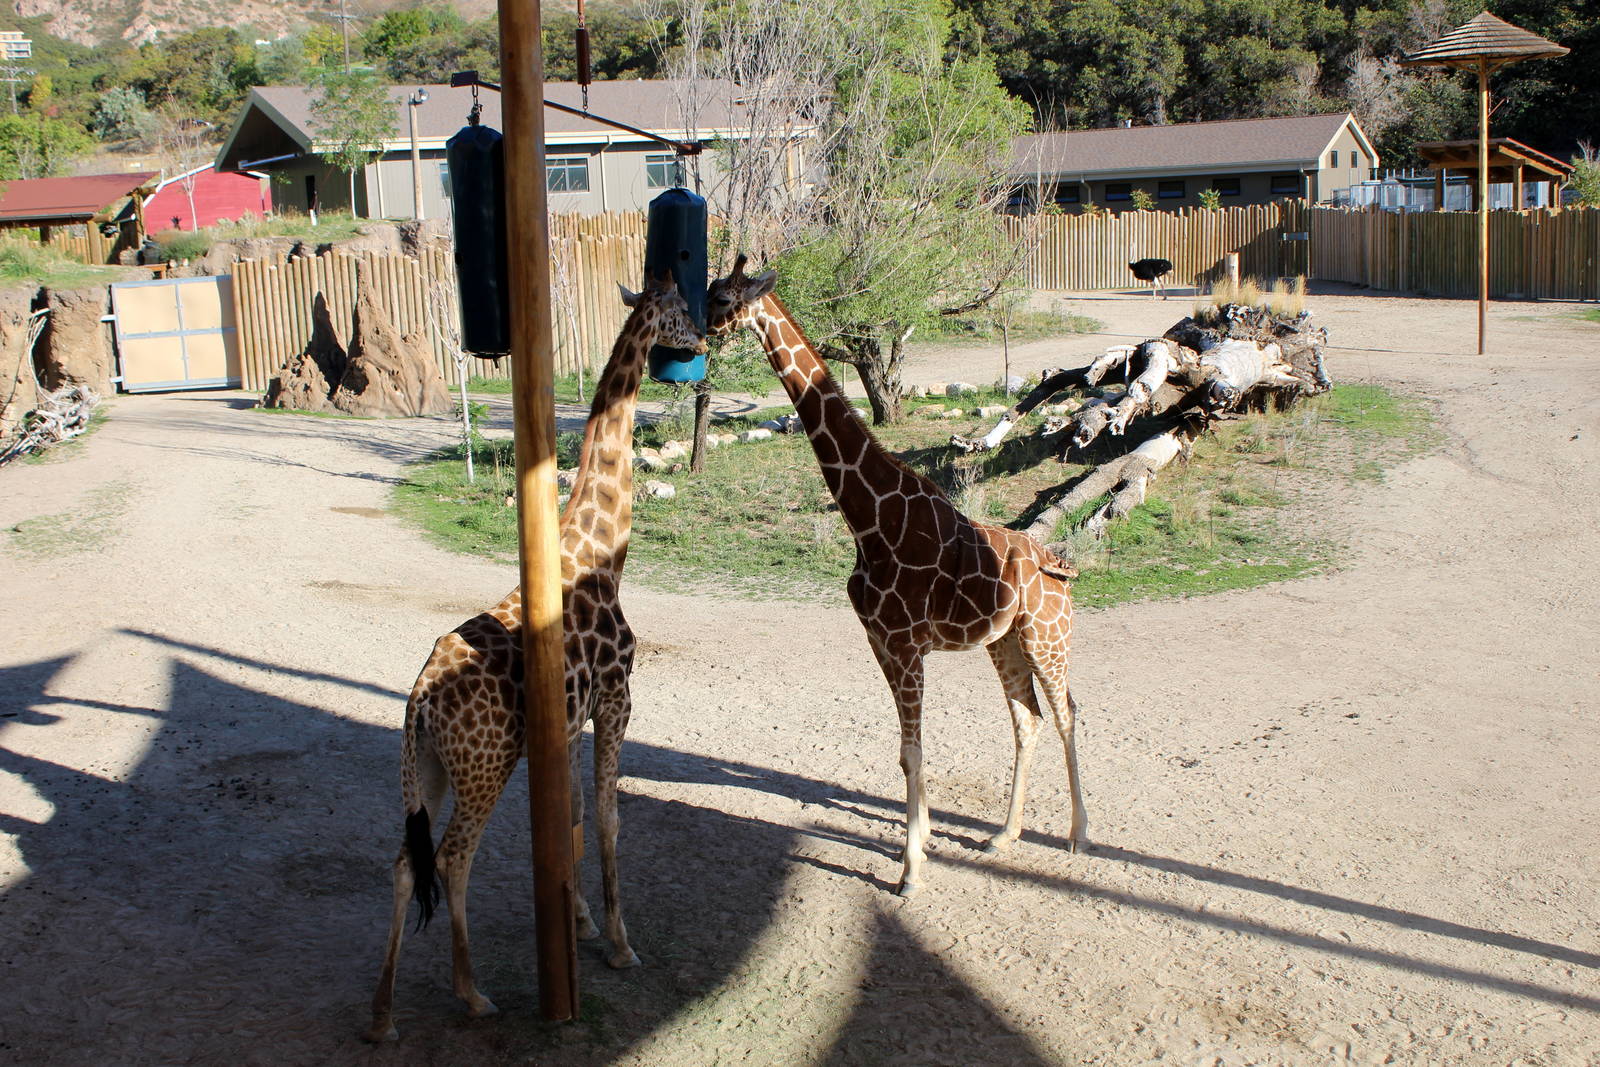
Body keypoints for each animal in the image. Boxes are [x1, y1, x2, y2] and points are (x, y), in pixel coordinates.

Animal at [365, 273, 704, 1042]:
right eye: (679, 308)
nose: (702, 338)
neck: (601, 548)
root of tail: (419, 702)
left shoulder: (571, 719)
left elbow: (572, 816)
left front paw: (579, 923)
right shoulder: (618, 696)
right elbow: (608, 816)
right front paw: (620, 943)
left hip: (425, 770)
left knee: (403, 861)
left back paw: (384, 1014)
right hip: (484, 766)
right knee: (452, 859)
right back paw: (471, 993)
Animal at [707, 256, 1085, 896]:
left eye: (725, 298)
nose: (697, 330)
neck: (868, 518)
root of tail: (1061, 568)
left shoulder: (906, 645)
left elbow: (913, 750)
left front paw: (910, 870)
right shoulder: (880, 642)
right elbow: (906, 749)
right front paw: (925, 841)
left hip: (1046, 638)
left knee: (1066, 714)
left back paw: (1080, 835)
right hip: (1005, 642)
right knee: (1027, 720)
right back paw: (1004, 835)